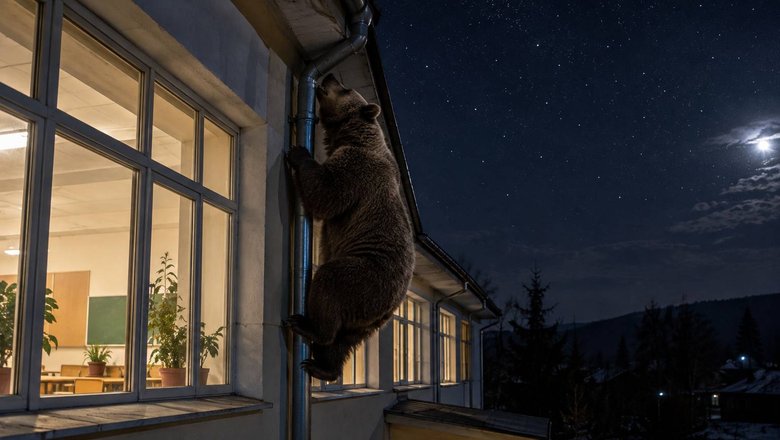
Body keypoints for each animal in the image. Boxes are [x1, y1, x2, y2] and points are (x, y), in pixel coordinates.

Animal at [285, 73, 415, 381]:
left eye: (345, 88)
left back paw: (307, 326)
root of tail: (392, 304)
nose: (330, 75)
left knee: (330, 282)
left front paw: (299, 152)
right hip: (367, 319)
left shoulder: (356, 169)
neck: (352, 135)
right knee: (345, 341)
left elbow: (326, 194)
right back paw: (323, 367)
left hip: (366, 276)